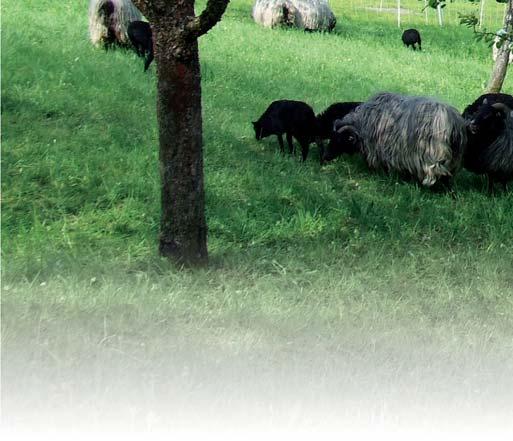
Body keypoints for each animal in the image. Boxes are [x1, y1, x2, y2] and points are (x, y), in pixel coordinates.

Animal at [324, 93, 468, 187]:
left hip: (433, 155)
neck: (362, 123)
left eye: (339, 140)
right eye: (331, 137)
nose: (325, 156)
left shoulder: (377, 149)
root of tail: (454, 122)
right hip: (453, 158)